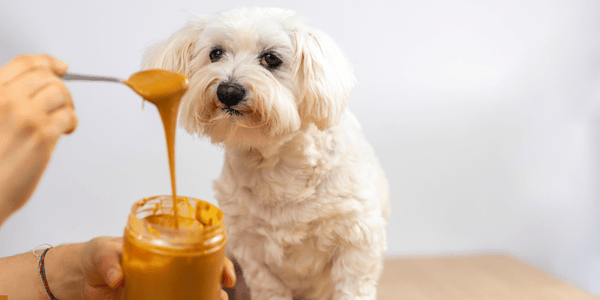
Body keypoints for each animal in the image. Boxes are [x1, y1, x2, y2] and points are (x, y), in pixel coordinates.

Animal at [144, 7, 392, 300]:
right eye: (216, 53)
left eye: (271, 58)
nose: (228, 91)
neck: (277, 164)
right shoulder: (251, 249)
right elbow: (268, 286)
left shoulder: (358, 241)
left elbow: (352, 286)